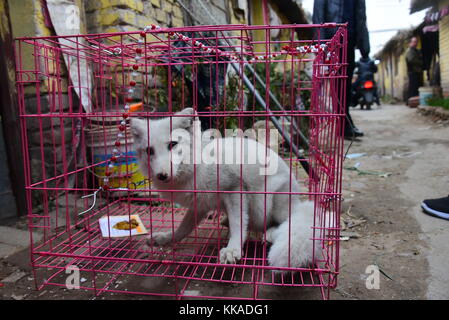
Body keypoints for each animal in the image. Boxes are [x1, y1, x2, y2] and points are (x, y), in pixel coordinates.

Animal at [131, 108, 314, 270]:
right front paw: (167, 238)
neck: (198, 167)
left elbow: (238, 223)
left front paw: (233, 248)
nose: (161, 175)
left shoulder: (234, 188)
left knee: (285, 223)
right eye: (149, 150)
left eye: (172, 144)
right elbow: (183, 228)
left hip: (266, 203)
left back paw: (270, 233)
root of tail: (297, 201)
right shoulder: (199, 204)